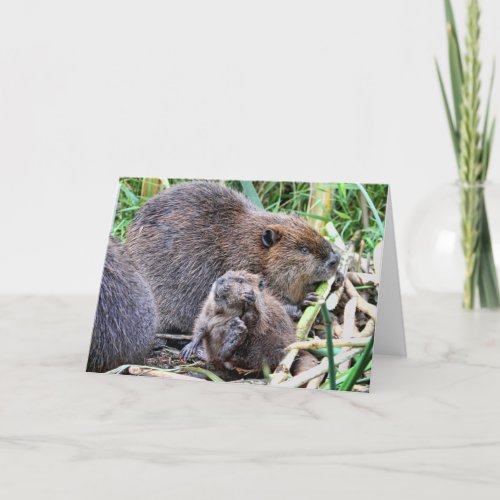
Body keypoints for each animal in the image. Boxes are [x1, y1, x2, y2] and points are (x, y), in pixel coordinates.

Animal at [125, 182, 340, 334]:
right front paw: (306, 301)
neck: (246, 243)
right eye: (303, 249)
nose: (334, 260)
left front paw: (337, 279)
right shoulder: (239, 265)